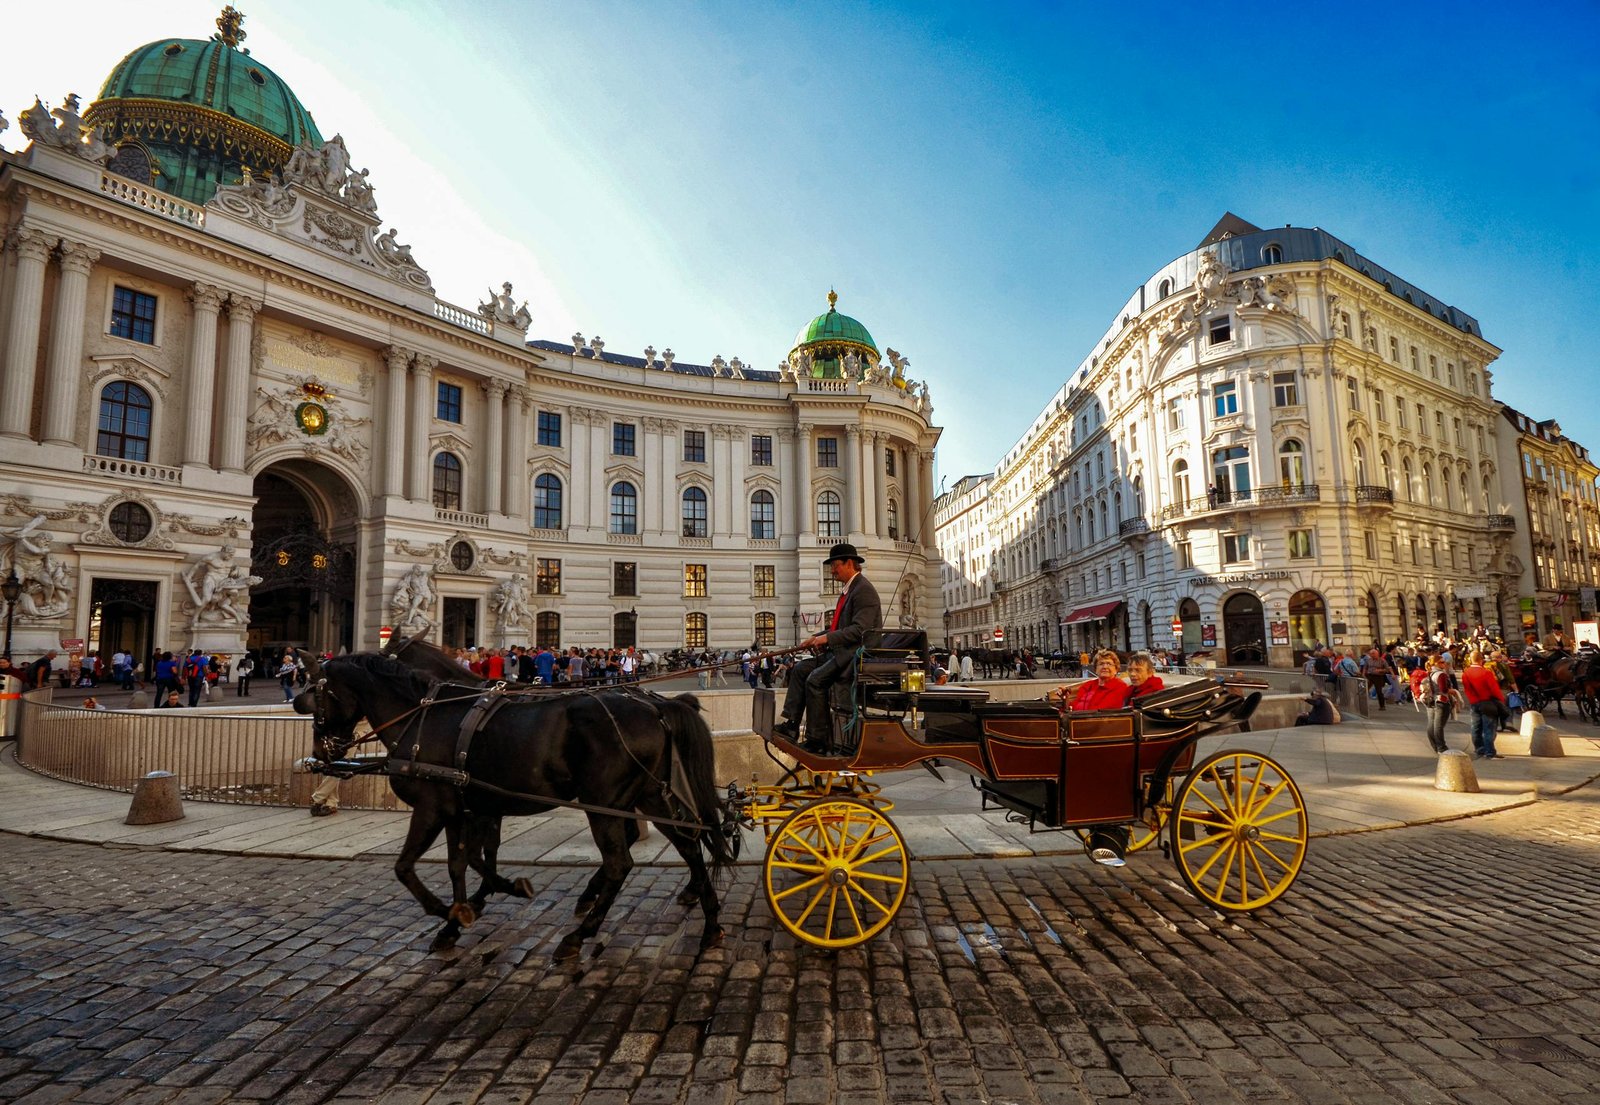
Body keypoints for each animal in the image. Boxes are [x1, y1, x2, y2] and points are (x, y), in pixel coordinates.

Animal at [297, 652, 732, 959]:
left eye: (316, 693)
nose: (320, 754)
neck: (425, 717)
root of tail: (658, 707)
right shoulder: (467, 806)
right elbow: (464, 861)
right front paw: (465, 912)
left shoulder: (433, 807)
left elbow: (408, 867)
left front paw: (452, 912)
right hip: (649, 794)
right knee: (688, 844)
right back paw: (710, 921)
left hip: (605, 801)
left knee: (620, 862)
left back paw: (578, 936)